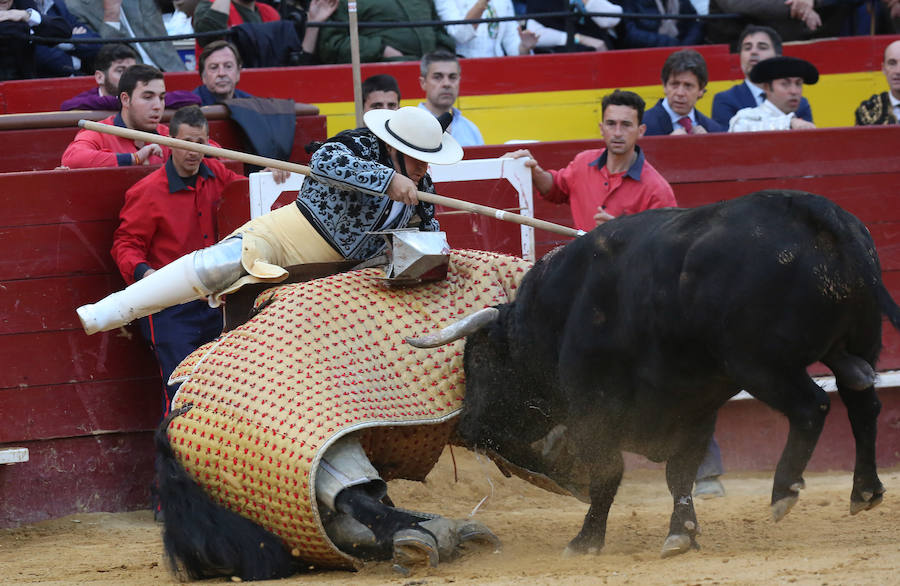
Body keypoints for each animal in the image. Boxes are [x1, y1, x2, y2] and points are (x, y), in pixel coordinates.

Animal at [416, 189, 900, 556]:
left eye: (478, 362)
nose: (467, 425)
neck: (557, 316)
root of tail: (813, 210)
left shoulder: (594, 410)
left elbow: (609, 473)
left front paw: (586, 540)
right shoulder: (695, 409)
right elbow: (679, 474)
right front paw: (680, 533)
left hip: (761, 364)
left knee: (813, 406)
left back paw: (784, 492)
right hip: (858, 343)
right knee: (863, 407)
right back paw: (865, 490)